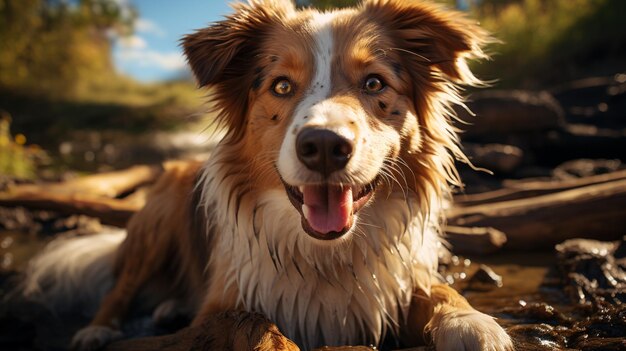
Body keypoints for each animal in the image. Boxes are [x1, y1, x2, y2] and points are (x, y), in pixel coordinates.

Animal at [24, 1, 512, 350]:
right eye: (281, 85)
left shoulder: (397, 281)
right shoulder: (226, 302)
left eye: (374, 83)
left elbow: (438, 291)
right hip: (158, 214)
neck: (325, 258)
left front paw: (472, 323)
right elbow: (254, 323)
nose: (324, 145)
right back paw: (99, 329)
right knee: (121, 286)